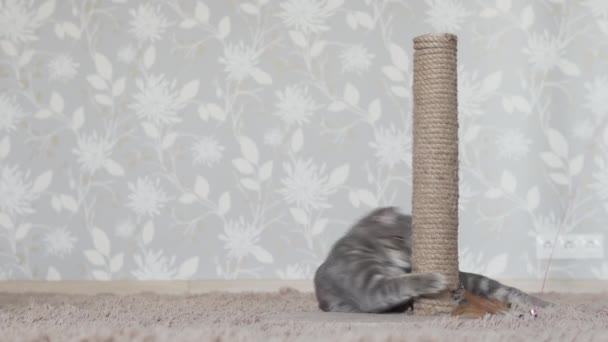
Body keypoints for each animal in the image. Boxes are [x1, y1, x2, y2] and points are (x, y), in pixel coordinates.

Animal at [314, 206, 552, 312]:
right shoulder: (365, 286)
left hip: (479, 282)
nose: (408, 259)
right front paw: (432, 278)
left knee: (507, 291)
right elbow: (398, 284)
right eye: (399, 238)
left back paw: (545, 304)